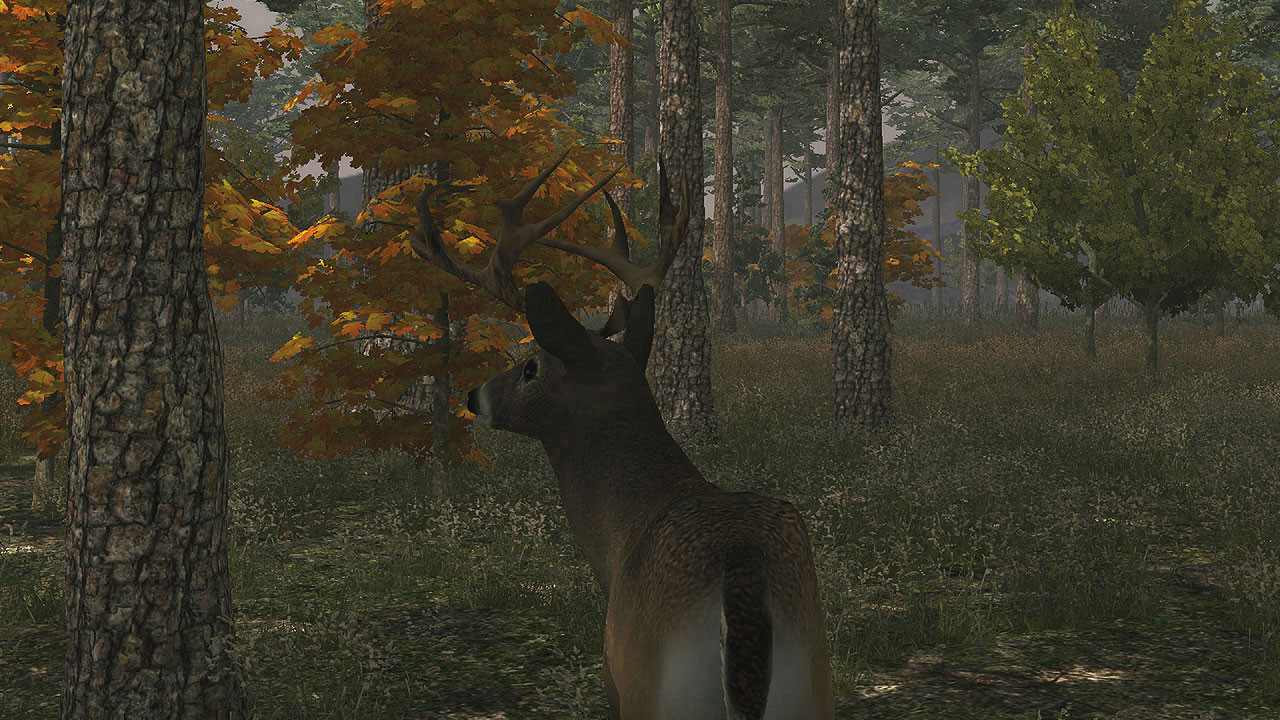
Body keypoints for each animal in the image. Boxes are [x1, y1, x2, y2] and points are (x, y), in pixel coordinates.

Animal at [407, 148, 834, 720]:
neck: (618, 535)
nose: (474, 396)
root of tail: (742, 571)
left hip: (659, 687)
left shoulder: (618, 677)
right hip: (813, 678)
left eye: (530, 366)